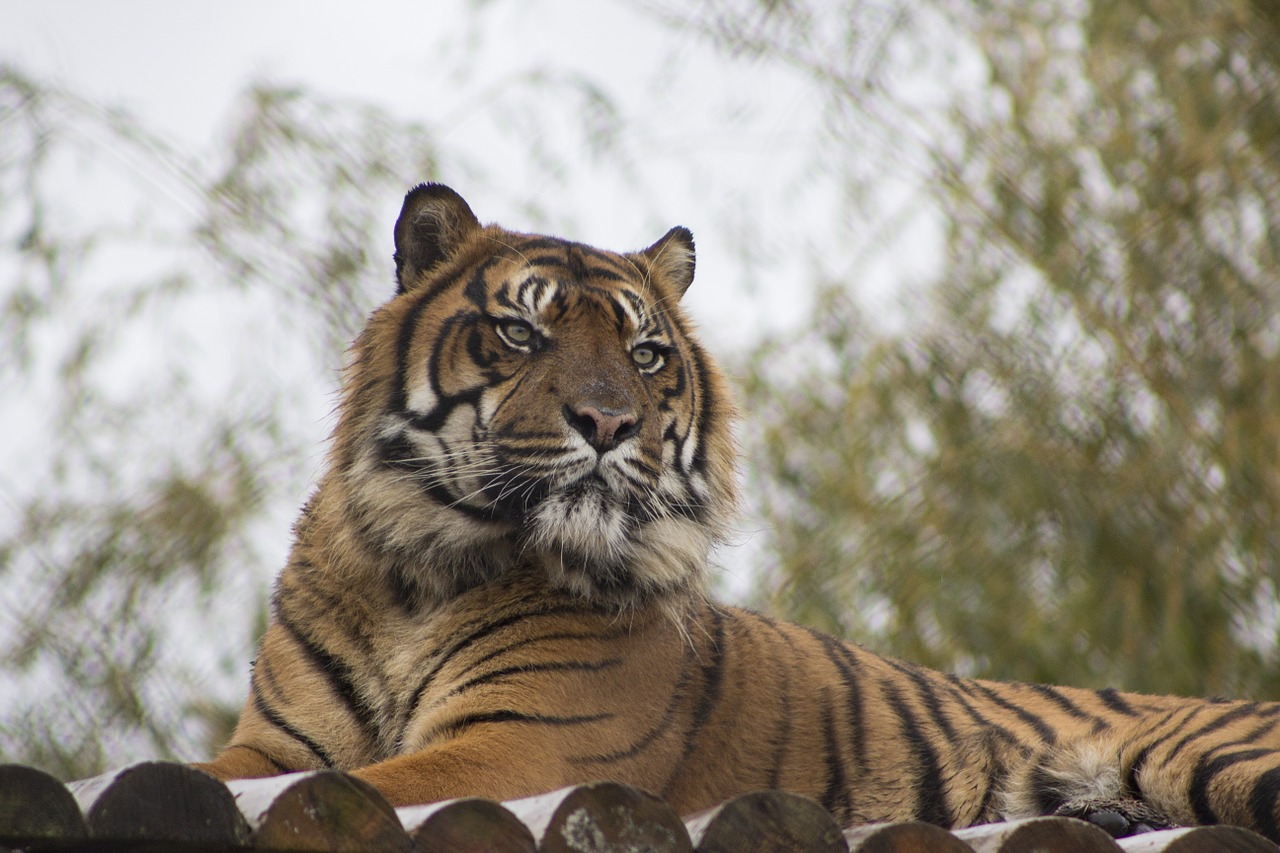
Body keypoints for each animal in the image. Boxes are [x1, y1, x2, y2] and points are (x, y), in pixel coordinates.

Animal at [197, 179, 1280, 835]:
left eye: (644, 354)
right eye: (520, 333)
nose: (606, 422)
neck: (417, 573)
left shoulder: (523, 741)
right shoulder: (276, 745)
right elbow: (232, 771)